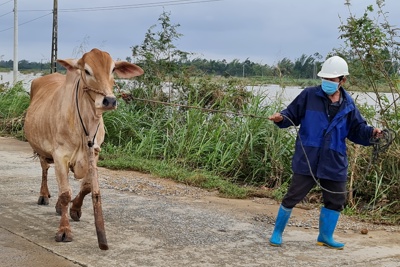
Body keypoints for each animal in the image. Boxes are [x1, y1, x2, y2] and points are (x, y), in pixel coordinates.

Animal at [23, 48, 144, 251]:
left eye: (112, 70)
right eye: (87, 71)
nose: (109, 100)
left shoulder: (94, 152)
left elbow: (86, 187)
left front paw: (75, 209)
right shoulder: (60, 155)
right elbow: (65, 193)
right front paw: (64, 230)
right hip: (41, 149)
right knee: (45, 169)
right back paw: (44, 195)